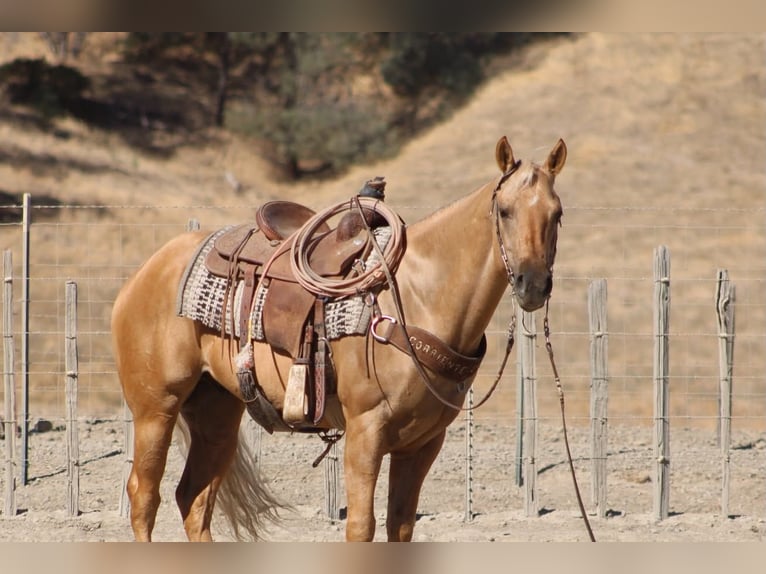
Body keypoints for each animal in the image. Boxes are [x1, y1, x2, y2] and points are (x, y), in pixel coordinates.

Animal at [111, 136, 566, 542]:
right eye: (504, 211)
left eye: (557, 213)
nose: (532, 284)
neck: (418, 296)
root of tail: (144, 273)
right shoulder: (366, 432)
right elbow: (361, 528)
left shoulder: (422, 445)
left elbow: (400, 526)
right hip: (156, 409)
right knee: (144, 497)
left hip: (216, 412)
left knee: (194, 499)